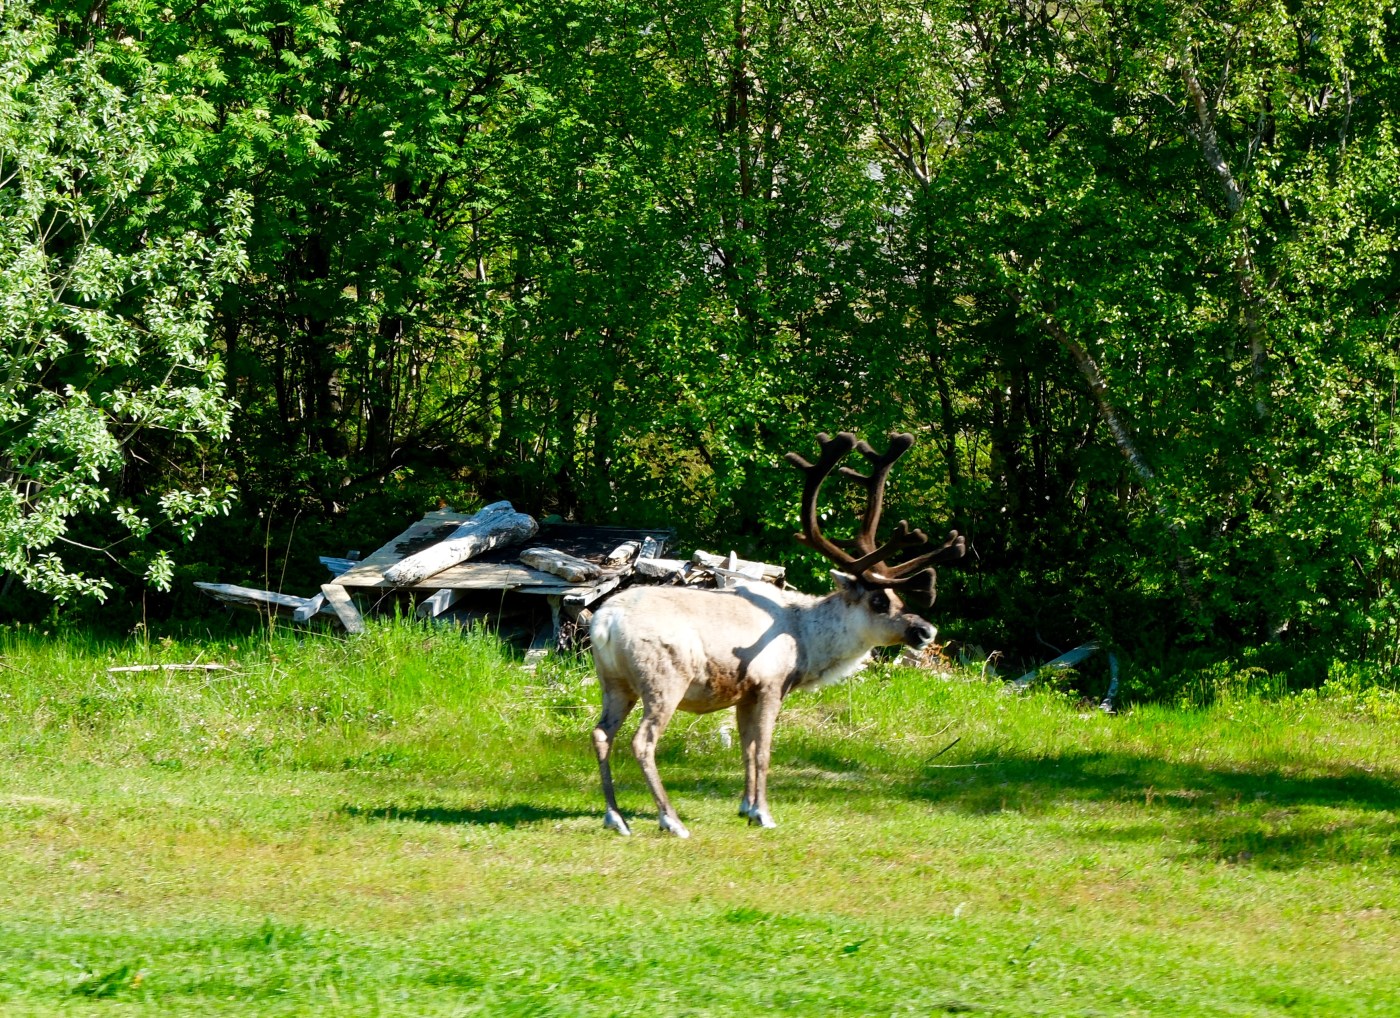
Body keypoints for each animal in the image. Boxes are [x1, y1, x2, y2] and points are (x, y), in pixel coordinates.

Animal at [589, 430, 966, 837]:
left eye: (899, 597)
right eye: (880, 600)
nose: (926, 630)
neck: (808, 640)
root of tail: (604, 623)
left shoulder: (743, 694)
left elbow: (745, 748)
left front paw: (745, 806)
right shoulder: (770, 684)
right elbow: (763, 750)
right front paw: (763, 813)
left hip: (615, 683)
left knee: (601, 734)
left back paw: (616, 817)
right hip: (663, 680)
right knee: (642, 741)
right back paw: (670, 819)